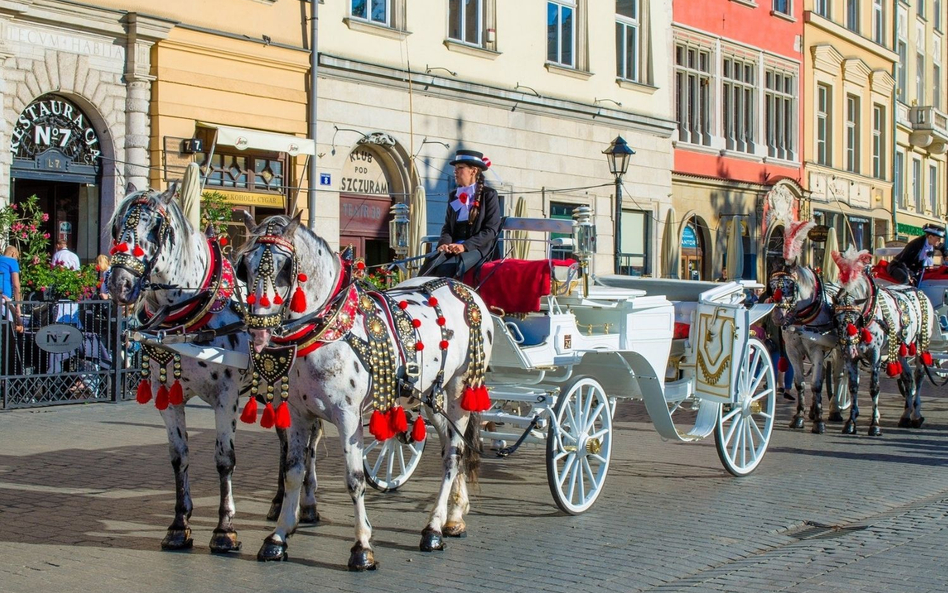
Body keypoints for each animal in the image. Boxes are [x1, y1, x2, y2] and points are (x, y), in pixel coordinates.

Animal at [105, 185, 316, 552]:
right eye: (117, 225)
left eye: (156, 229)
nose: (120, 284)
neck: (188, 314)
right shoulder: (166, 396)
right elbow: (179, 456)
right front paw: (179, 525)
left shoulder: (225, 396)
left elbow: (224, 459)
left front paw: (224, 529)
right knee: (286, 442)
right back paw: (279, 503)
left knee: (308, 443)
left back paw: (308, 505)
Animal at [235, 214, 496, 568]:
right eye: (244, 267)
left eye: (285, 267)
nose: (258, 331)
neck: (327, 328)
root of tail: (467, 290)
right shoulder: (299, 414)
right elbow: (293, 472)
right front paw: (278, 536)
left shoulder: (347, 415)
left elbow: (355, 478)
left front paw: (362, 547)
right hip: (432, 396)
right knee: (452, 449)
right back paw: (454, 517)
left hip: (460, 388)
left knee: (454, 454)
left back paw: (433, 529)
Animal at [772, 262, 844, 430]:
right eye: (772, 285)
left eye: (791, 286)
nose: (777, 317)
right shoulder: (792, 351)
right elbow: (800, 383)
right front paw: (799, 417)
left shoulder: (816, 350)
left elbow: (816, 385)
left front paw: (819, 422)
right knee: (823, 374)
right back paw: (813, 411)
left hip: (838, 350)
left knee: (838, 377)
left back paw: (835, 410)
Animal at [828, 245, 932, 434]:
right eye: (836, 320)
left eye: (856, 320)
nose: (849, 349)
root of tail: (917, 290)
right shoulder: (851, 359)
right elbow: (853, 387)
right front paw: (851, 422)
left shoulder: (875, 355)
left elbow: (874, 388)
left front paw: (874, 424)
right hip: (900, 351)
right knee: (908, 378)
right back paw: (905, 416)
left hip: (921, 346)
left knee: (919, 377)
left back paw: (916, 415)